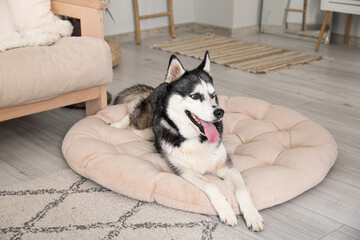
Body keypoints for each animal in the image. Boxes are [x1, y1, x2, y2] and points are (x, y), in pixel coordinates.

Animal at [112, 52, 264, 231]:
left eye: (213, 95)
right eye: (195, 96)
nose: (220, 112)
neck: (195, 138)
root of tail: (162, 86)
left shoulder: (227, 166)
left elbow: (242, 189)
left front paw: (253, 215)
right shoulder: (184, 170)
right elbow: (211, 184)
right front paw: (227, 211)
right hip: (143, 129)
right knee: (132, 112)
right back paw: (116, 125)